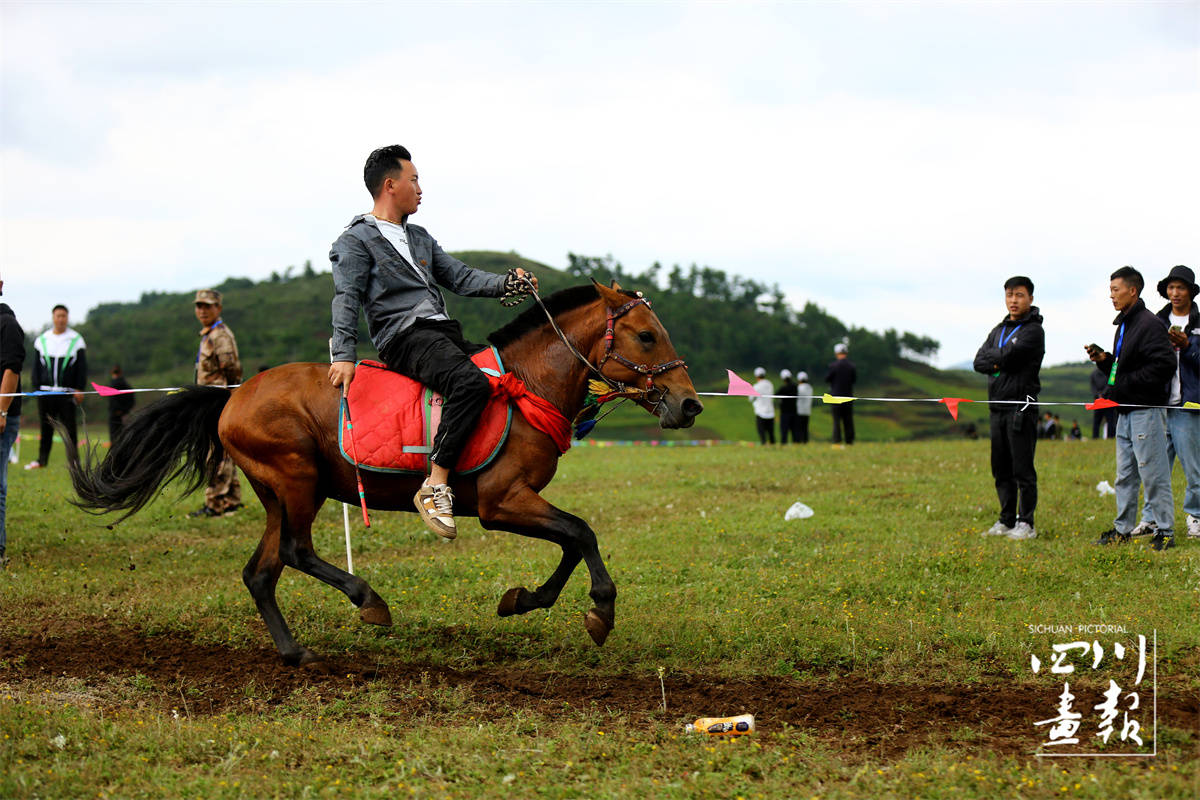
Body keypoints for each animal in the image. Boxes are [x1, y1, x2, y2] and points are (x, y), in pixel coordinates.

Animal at [65, 281, 700, 662]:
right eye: (647, 335)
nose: (690, 404)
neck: (526, 386)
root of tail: (233, 394)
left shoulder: (518, 502)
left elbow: (571, 541)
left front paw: (524, 599)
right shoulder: (502, 503)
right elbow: (580, 532)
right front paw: (601, 610)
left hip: (278, 491)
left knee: (261, 571)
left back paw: (294, 650)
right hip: (298, 480)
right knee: (295, 552)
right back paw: (367, 599)